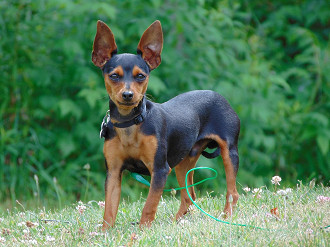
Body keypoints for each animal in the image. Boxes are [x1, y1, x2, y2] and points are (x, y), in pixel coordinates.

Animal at [91, 19, 241, 230]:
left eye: (140, 76)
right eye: (114, 76)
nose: (128, 95)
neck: (131, 123)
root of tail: (219, 96)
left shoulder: (160, 170)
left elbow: (149, 206)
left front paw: (143, 230)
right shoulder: (113, 172)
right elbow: (109, 211)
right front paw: (105, 233)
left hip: (229, 152)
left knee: (231, 193)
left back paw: (227, 217)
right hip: (183, 162)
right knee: (189, 196)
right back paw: (176, 222)